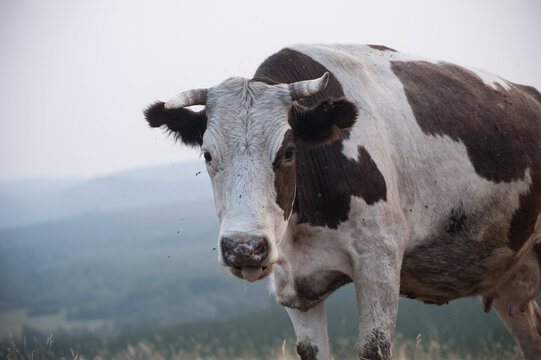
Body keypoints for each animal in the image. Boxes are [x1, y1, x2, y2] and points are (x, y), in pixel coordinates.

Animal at [144, 45, 540, 360]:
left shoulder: (379, 261)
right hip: (509, 276)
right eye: (208, 155)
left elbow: (373, 348)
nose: (244, 248)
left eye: (288, 152)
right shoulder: (294, 286)